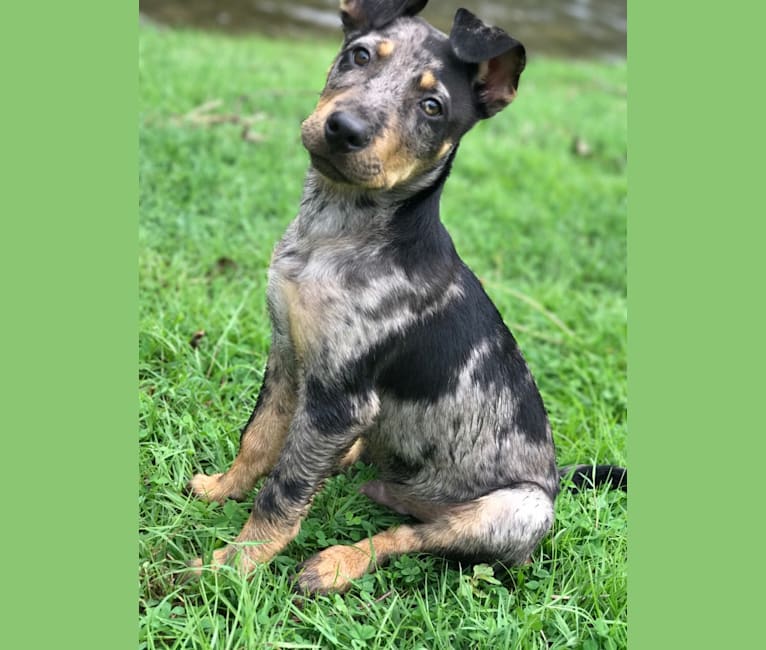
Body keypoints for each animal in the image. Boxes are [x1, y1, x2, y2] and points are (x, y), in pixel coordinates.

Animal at [186, 0, 624, 592]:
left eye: (433, 107)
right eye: (359, 55)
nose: (344, 129)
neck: (336, 232)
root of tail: (555, 476)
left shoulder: (340, 397)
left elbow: (284, 490)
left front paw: (232, 566)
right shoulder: (287, 355)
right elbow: (258, 437)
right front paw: (221, 488)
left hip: (517, 508)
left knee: (414, 535)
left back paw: (338, 562)